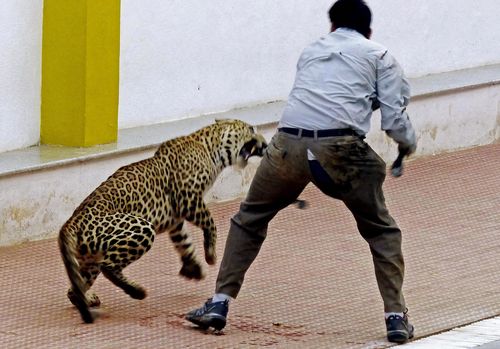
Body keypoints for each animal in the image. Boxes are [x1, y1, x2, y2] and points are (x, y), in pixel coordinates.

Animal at [58, 117, 268, 324]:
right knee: (108, 267)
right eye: (251, 129)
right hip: (141, 229)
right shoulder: (189, 200)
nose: (266, 144)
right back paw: (137, 291)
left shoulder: (176, 219)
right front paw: (210, 255)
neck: (210, 148)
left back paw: (87, 299)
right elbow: (210, 222)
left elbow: (184, 241)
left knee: (75, 288)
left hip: (90, 258)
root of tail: (71, 223)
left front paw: (193, 268)